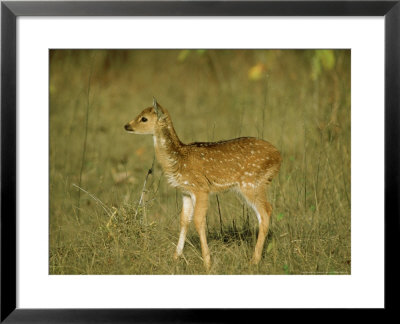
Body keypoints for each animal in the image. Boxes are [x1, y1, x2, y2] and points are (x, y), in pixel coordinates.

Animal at [125, 99, 282, 270]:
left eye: (144, 118)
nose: (127, 126)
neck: (178, 159)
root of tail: (278, 156)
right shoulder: (186, 192)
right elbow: (184, 220)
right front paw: (175, 258)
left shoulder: (201, 188)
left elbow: (199, 220)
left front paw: (207, 262)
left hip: (251, 183)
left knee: (266, 211)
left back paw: (254, 260)